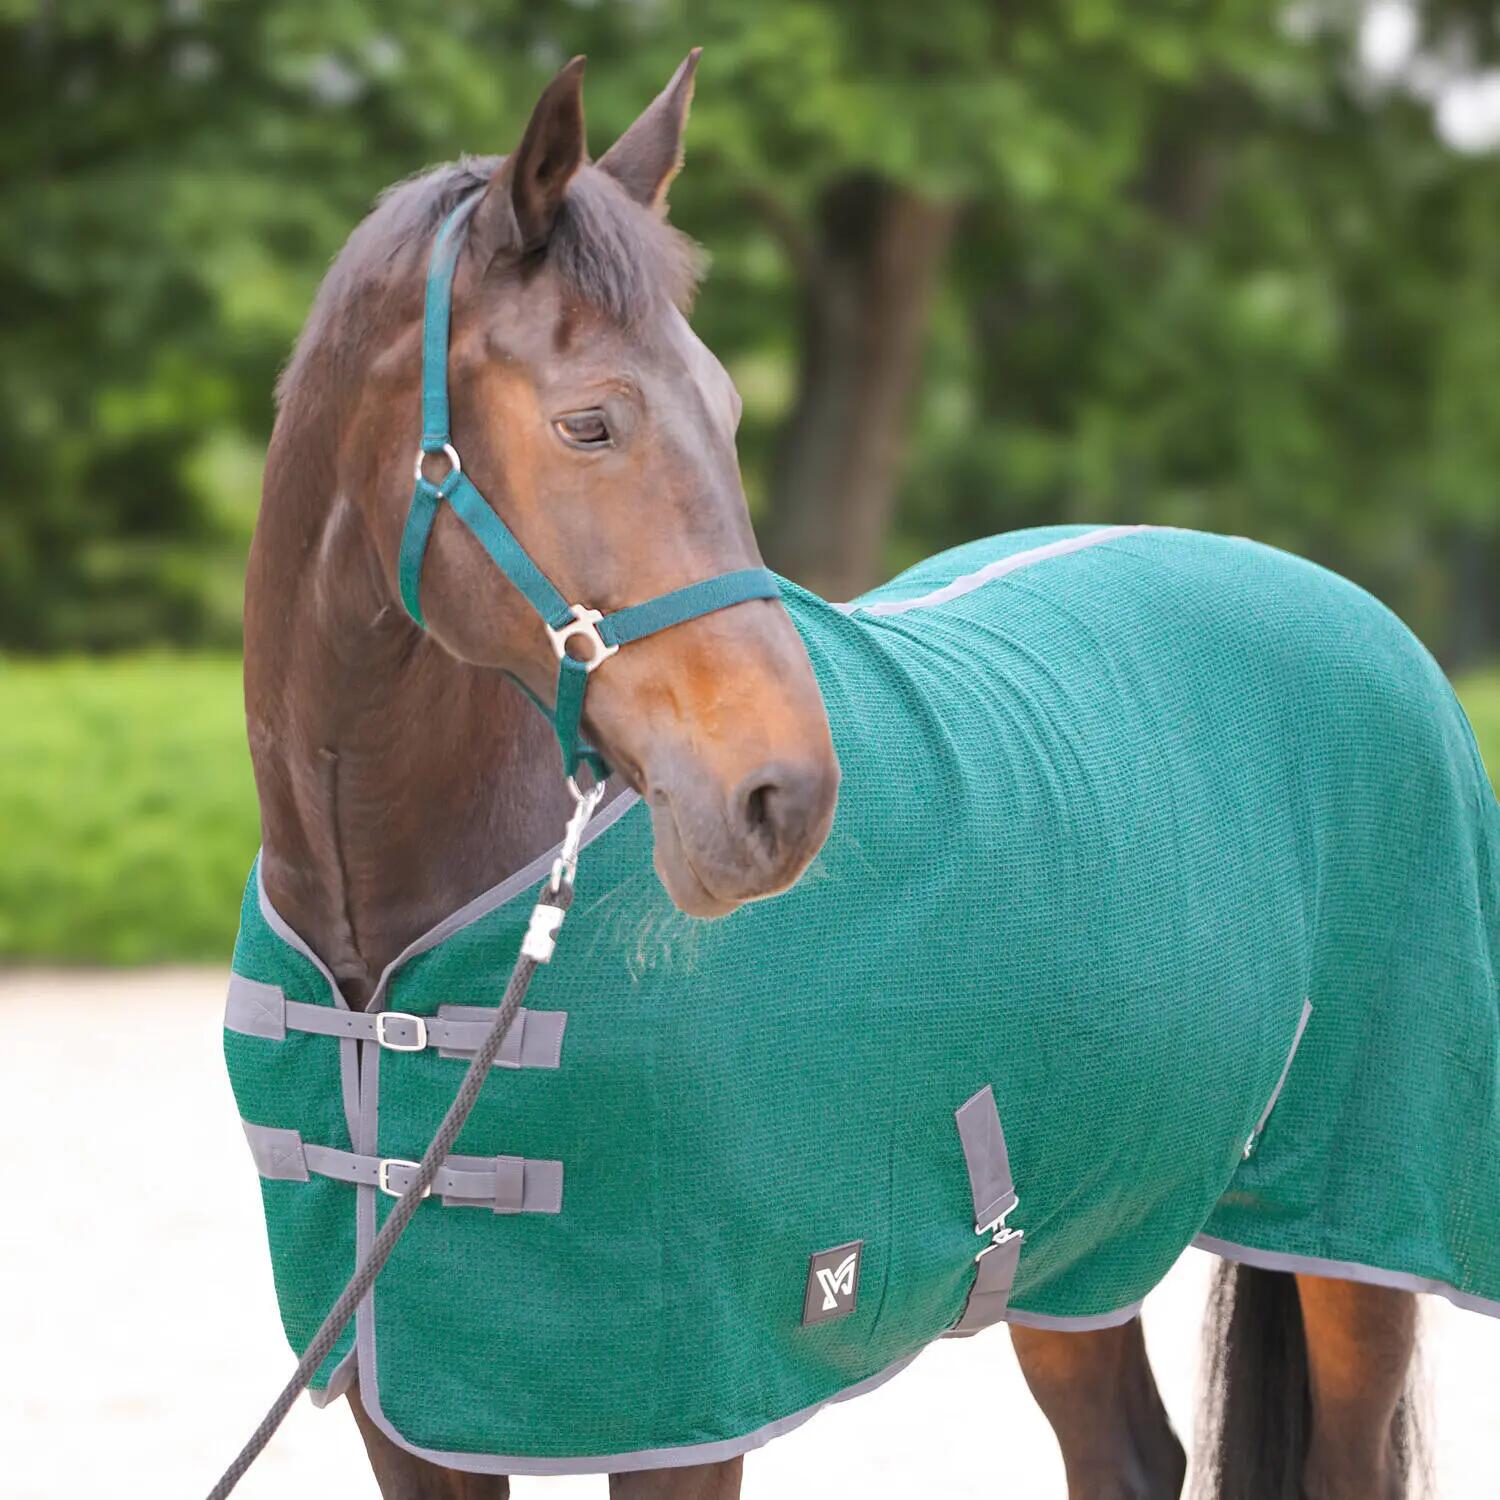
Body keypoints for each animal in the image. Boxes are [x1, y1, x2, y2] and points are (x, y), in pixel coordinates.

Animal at [239, 54, 1496, 1500]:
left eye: (729, 412)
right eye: (589, 422)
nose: (780, 800)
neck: (387, 951)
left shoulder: (689, 1403)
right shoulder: (402, 1411)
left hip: (1358, 1234)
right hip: (1086, 1238)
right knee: (1127, 1453)